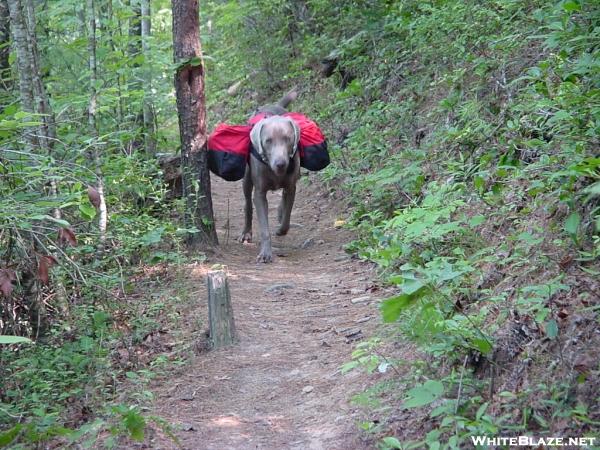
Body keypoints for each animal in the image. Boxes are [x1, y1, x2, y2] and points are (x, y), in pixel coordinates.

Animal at [240, 89, 300, 262]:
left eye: (287, 139)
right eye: (268, 141)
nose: (281, 164)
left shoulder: (291, 186)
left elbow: (287, 215)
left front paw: (281, 228)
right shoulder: (260, 193)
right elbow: (264, 228)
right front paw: (265, 253)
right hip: (247, 178)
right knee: (248, 203)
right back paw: (246, 233)